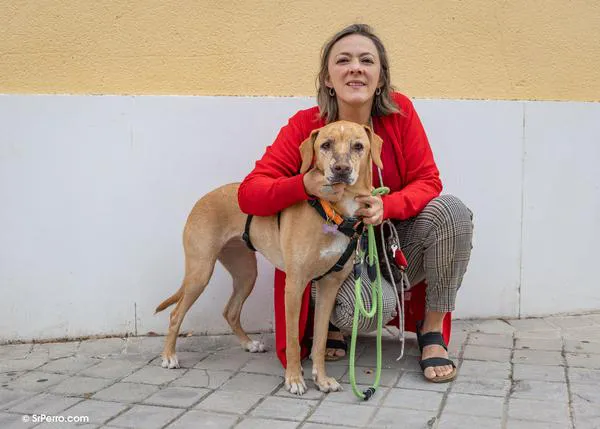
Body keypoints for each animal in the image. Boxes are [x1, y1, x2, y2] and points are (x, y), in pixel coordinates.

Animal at [155, 118, 380, 392]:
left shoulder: (329, 287)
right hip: (200, 272)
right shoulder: (294, 286)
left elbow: (320, 341)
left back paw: (248, 343)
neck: (333, 212)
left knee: (230, 311)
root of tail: (204, 198)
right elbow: (293, 339)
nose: (341, 169)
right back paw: (169, 356)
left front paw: (322, 379)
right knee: (176, 313)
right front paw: (294, 379)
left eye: (358, 146)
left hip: (246, 274)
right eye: (325, 145)